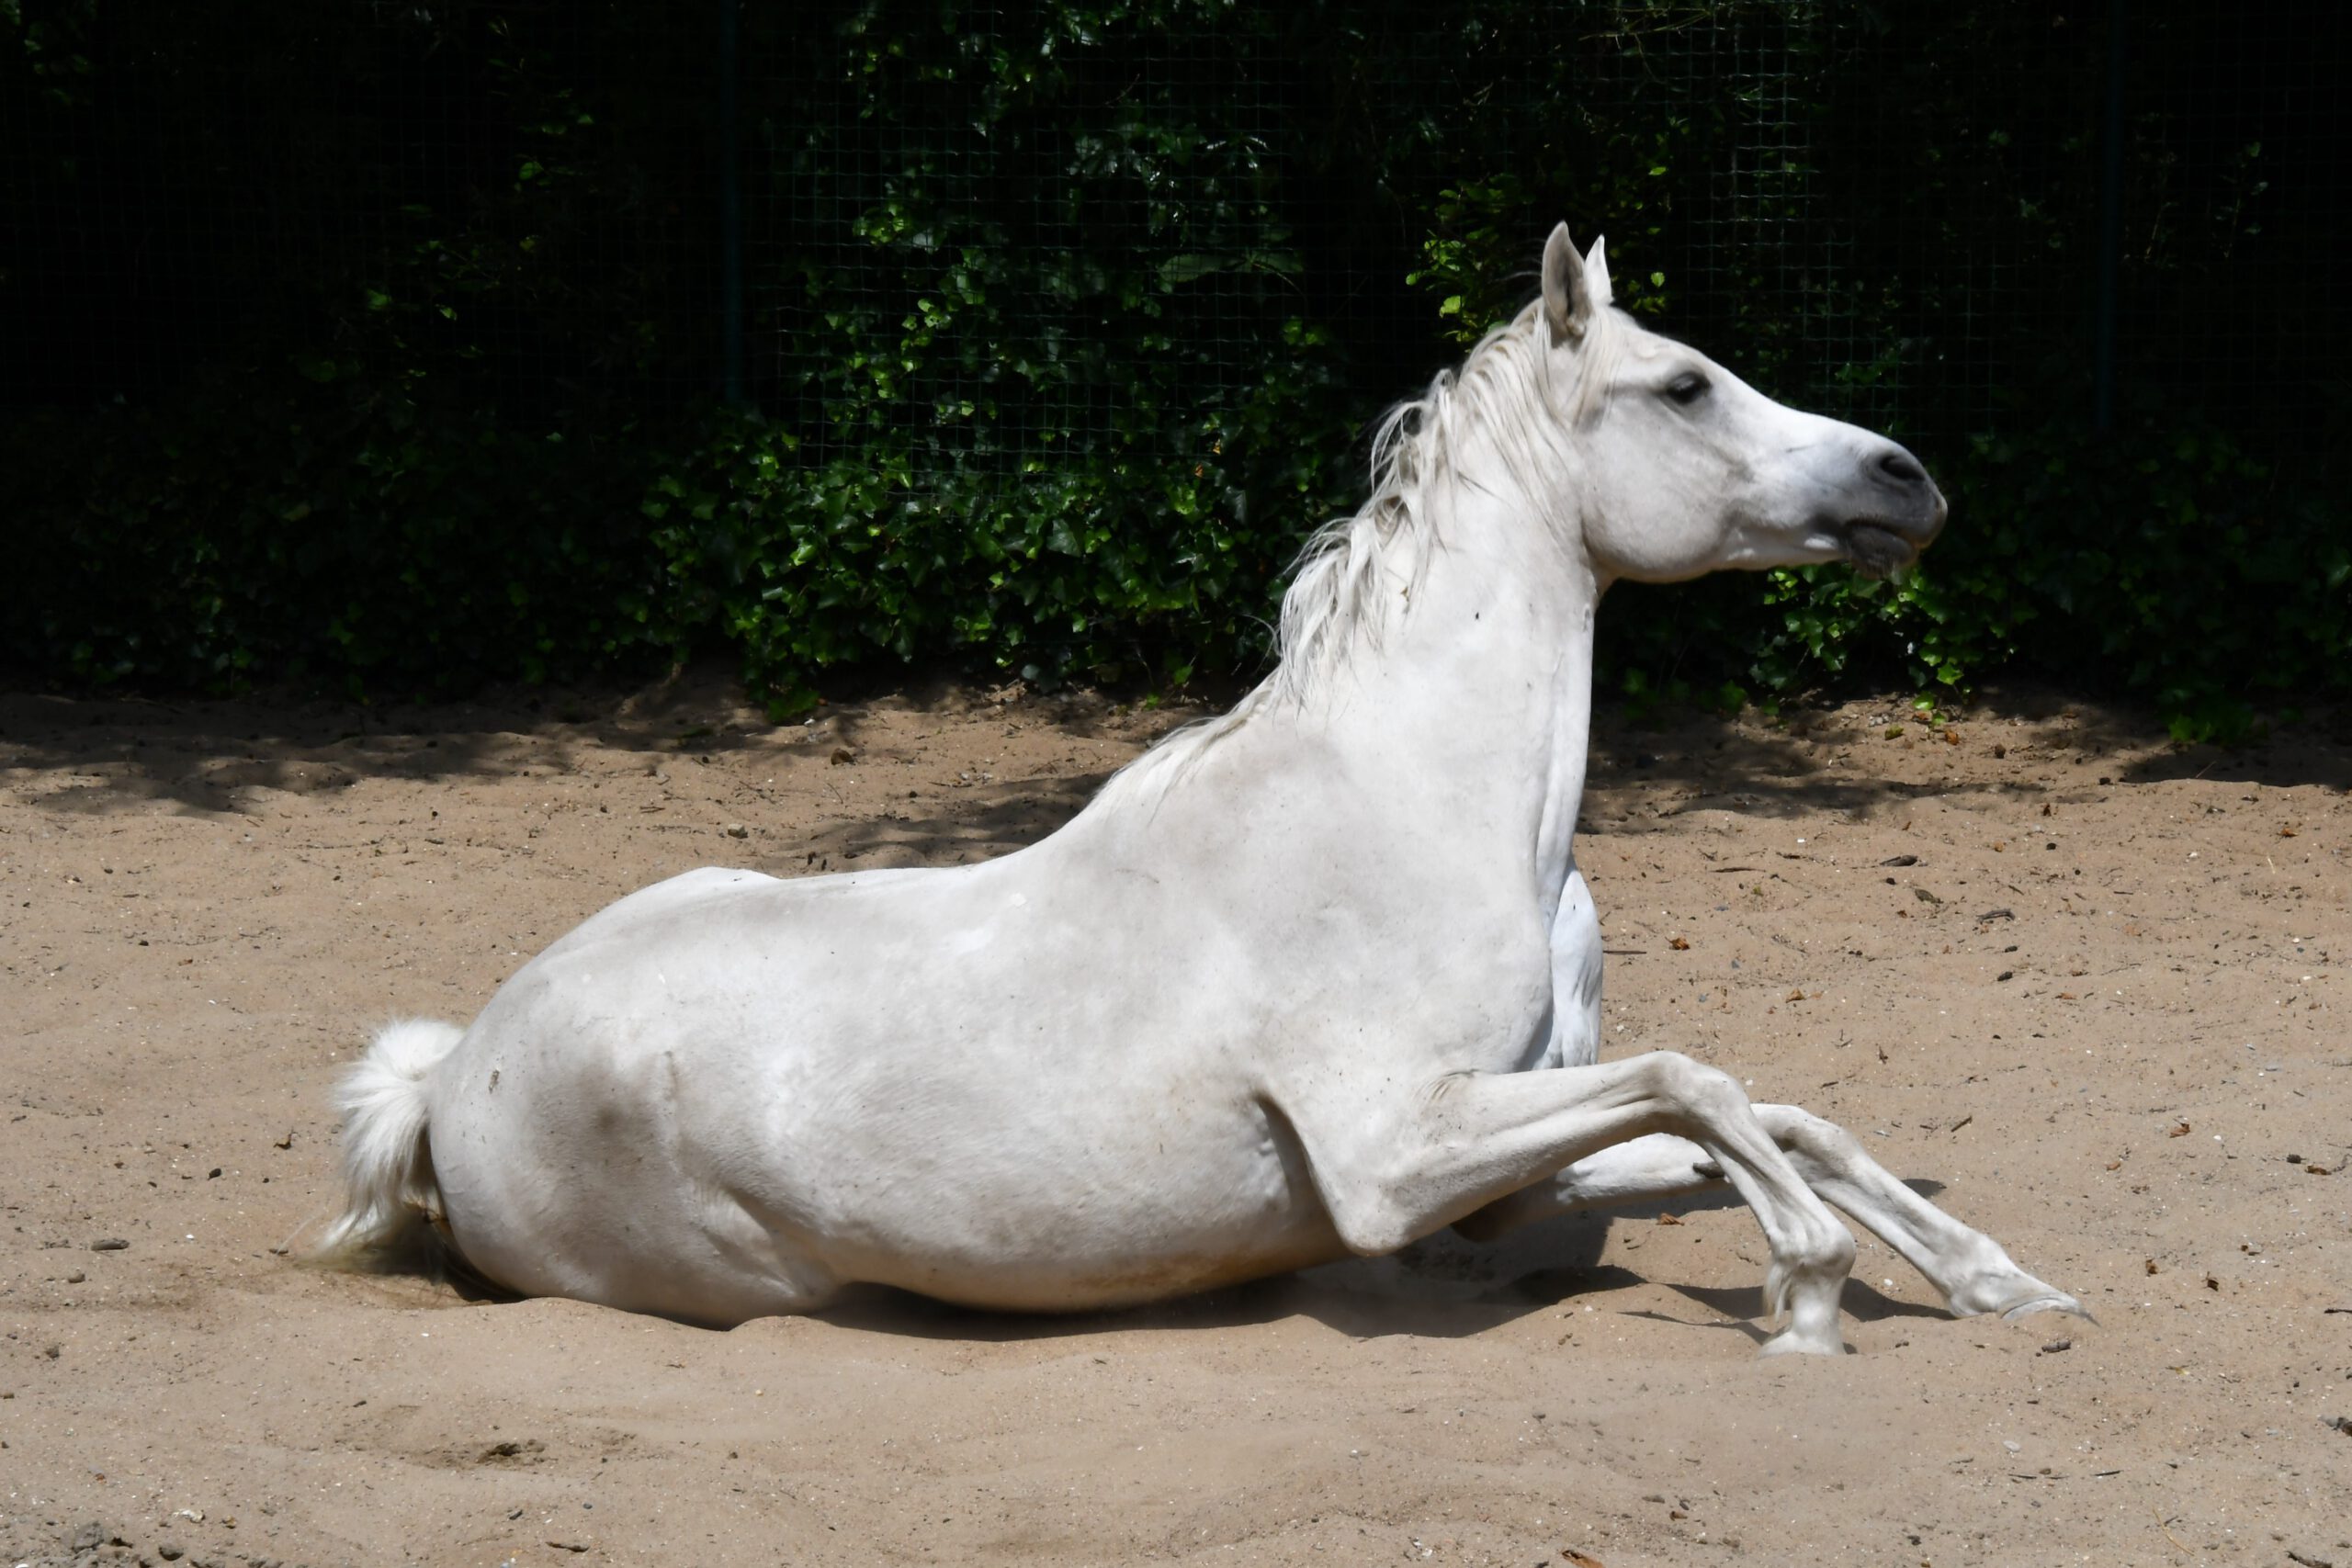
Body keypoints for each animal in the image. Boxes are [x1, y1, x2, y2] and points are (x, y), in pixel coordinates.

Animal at [311, 225, 2083, 1354]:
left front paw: (2001, 1282)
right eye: (1687, 385)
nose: (1911, 481)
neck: (1411, 807)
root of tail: (447, 1075)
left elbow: (1770, 1108)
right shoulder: (1395, 1158)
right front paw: (1808, 1295)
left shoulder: (1501, 1166)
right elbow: (1704, 1085)